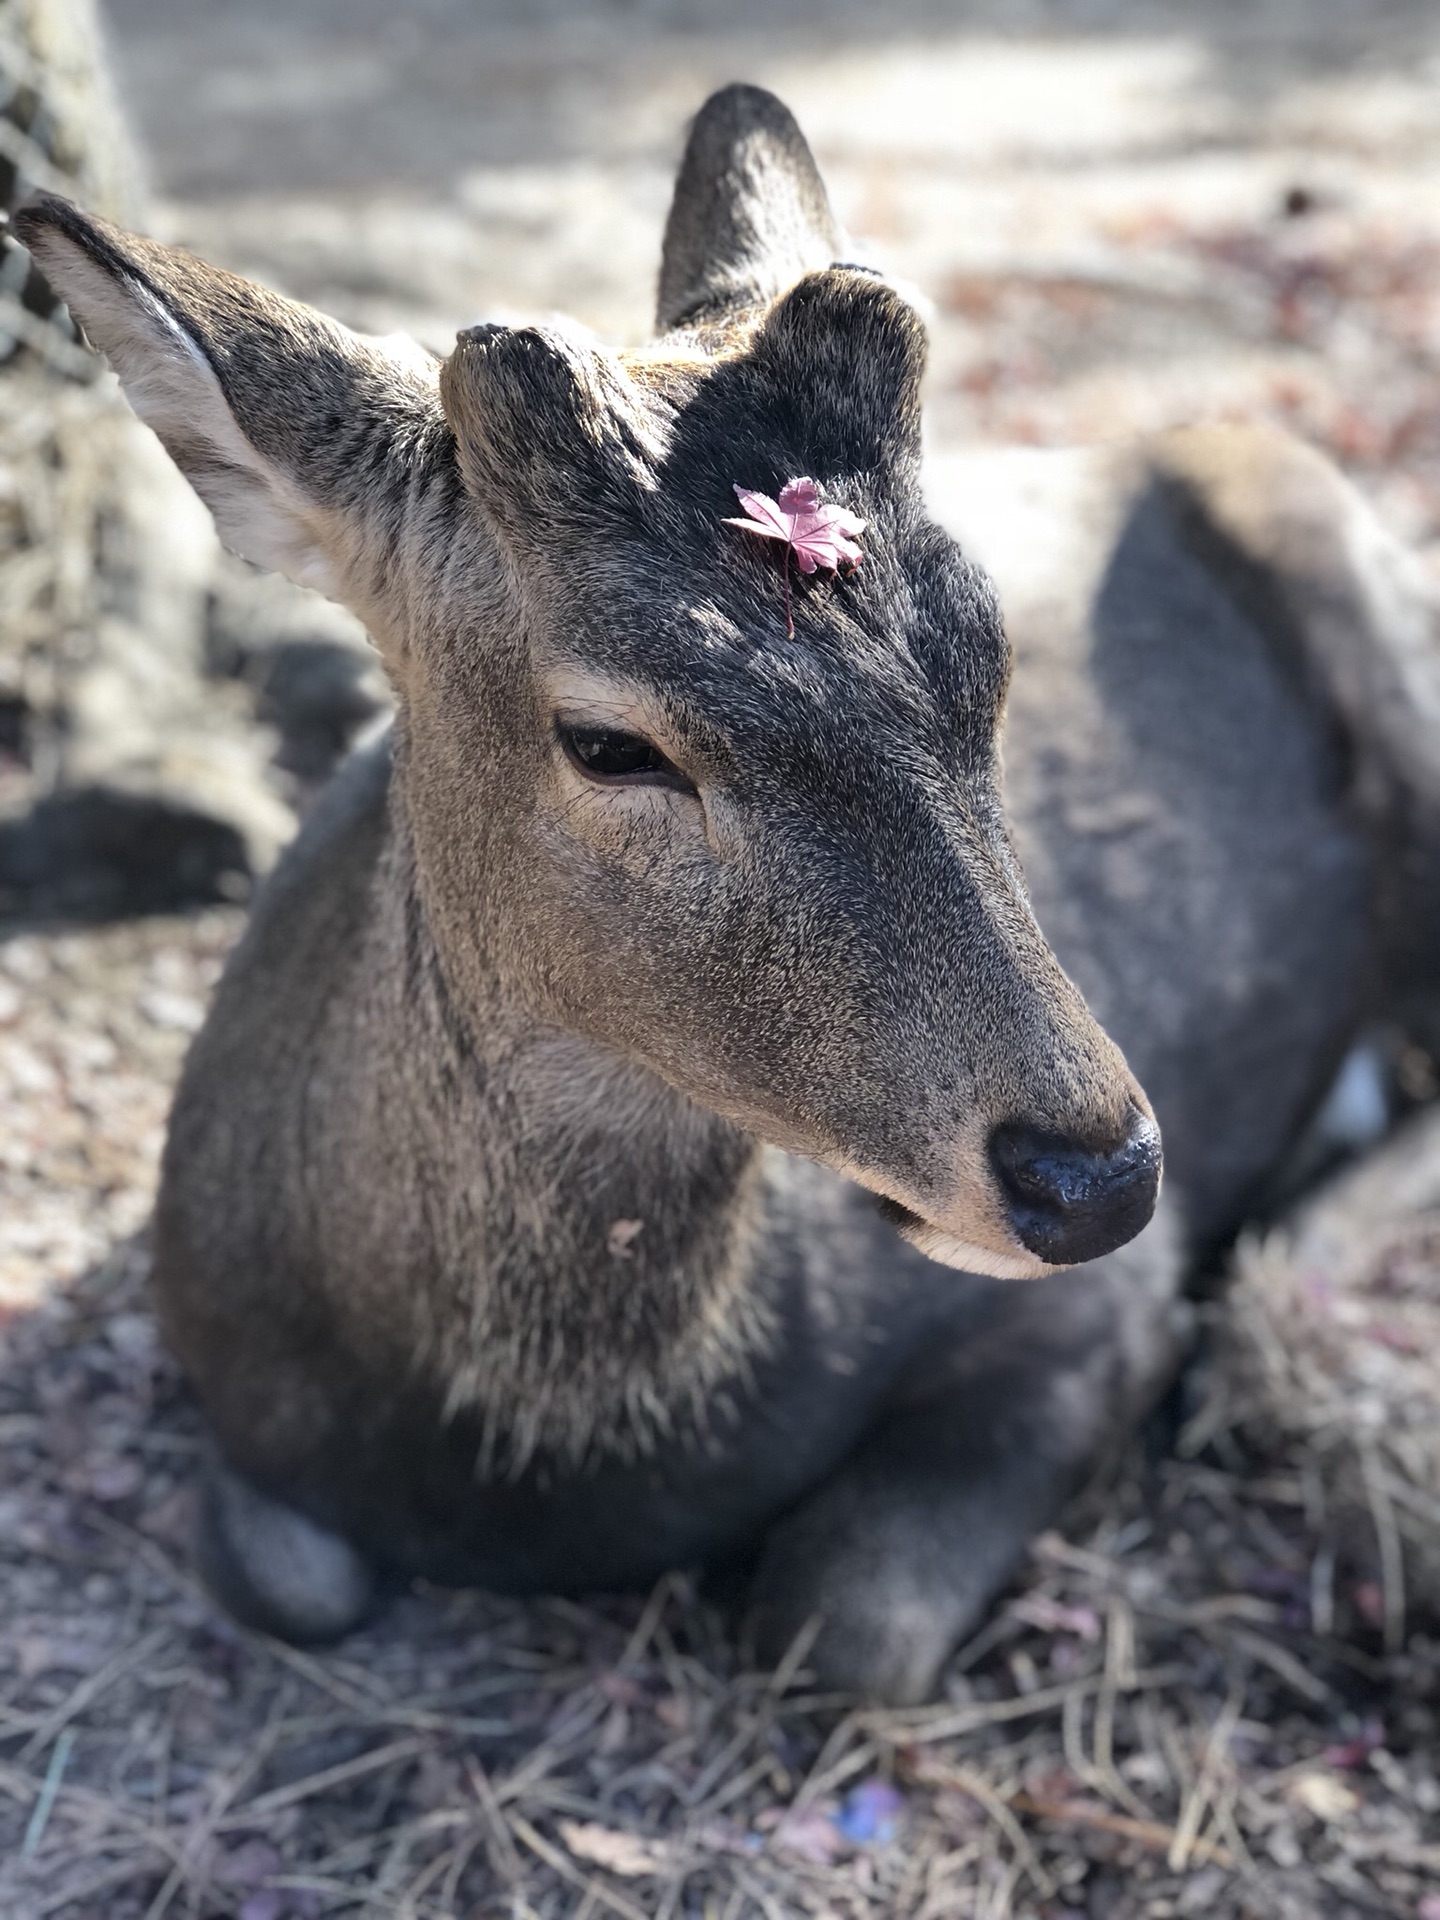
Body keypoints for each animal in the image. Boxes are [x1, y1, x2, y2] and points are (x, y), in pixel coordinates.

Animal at [19, 82, 1440, 1704]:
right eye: (608, 740)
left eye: (993, 653)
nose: (1104, 1179)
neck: (550, 1474)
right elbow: (282, 1577)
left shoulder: (1094, 1319)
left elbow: (842, 1624)